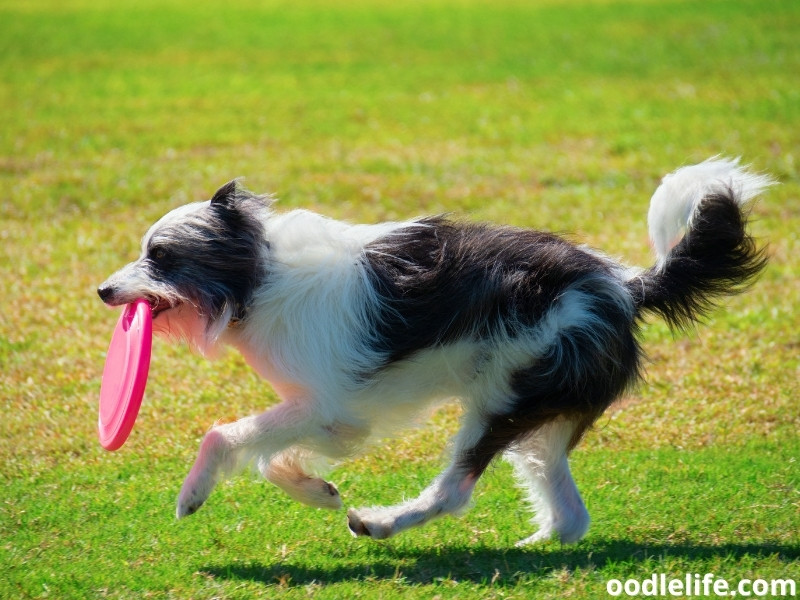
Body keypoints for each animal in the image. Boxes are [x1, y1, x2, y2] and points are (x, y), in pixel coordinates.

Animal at [97, 157, 772, 548]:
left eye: (161, 256)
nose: (103, 291)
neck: (258, 277)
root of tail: (623, 286)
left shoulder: (329, 405)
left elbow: (225, 435)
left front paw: (193, 493)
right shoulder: (332, 416)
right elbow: (272, 458)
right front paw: (315, 489)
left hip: (503, 398)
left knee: (455, 493)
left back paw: (381, 522)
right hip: (538, 416)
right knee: (569, 513)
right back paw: (539, 546)